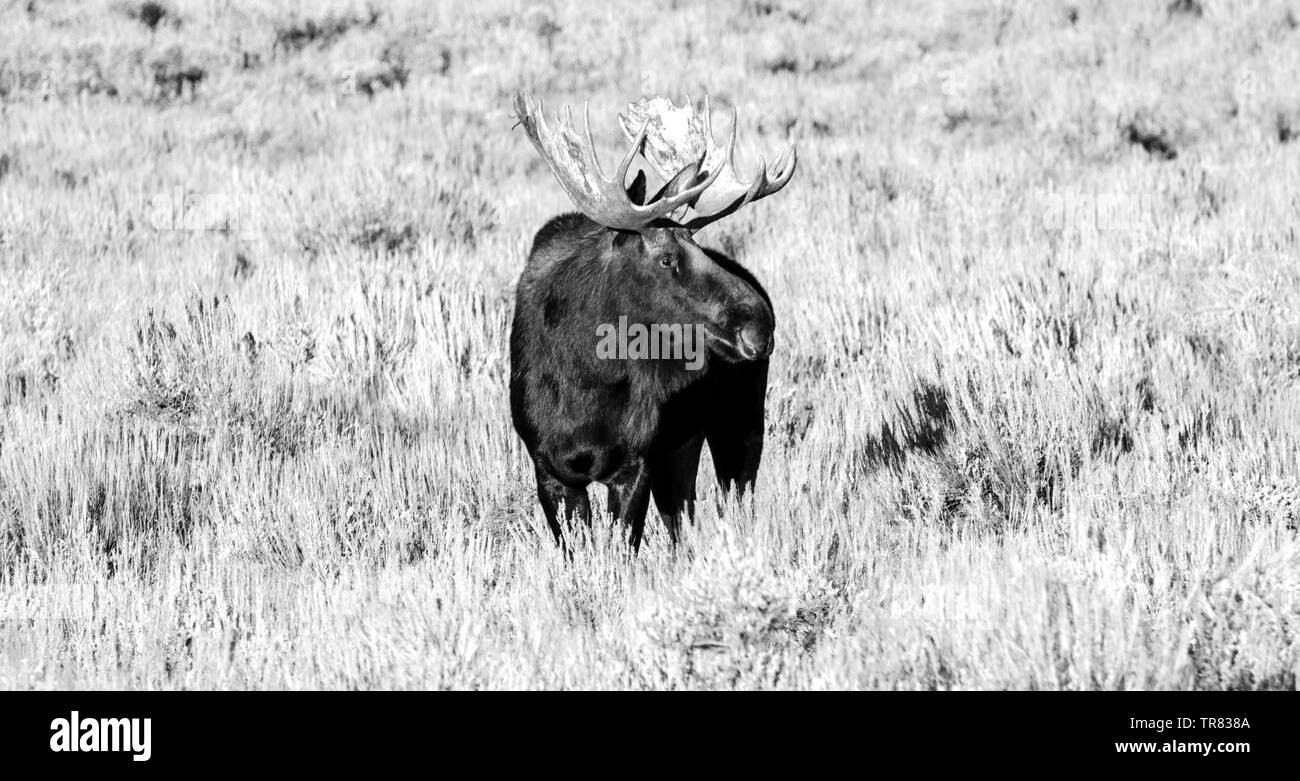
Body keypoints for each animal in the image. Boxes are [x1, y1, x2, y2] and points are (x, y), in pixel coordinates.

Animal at [509, 92, 795, 548]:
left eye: (697, 244)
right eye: (665, 257)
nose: (759, 323)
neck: (585, 382)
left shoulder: (636, 462)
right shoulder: (550, 469)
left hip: (740, 422)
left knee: (733, 503)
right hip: (683, 446)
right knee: (684, 520)